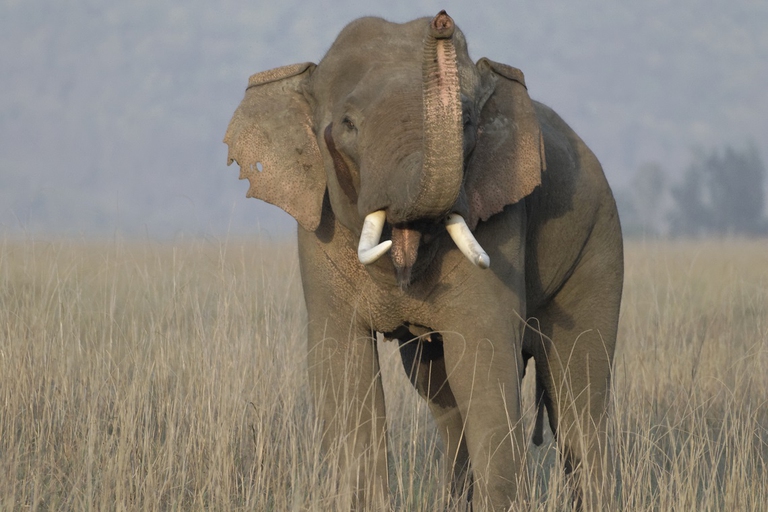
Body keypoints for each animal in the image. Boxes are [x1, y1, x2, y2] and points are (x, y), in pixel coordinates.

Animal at [224, 11, 623, 511]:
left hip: (598, 242)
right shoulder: (319, 227)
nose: (441, 21)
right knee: (444, 399)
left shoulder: (499, 217)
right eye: (348, 124)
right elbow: (344, 369)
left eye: (468, 122)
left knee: (579, 398)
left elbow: (484, 360)